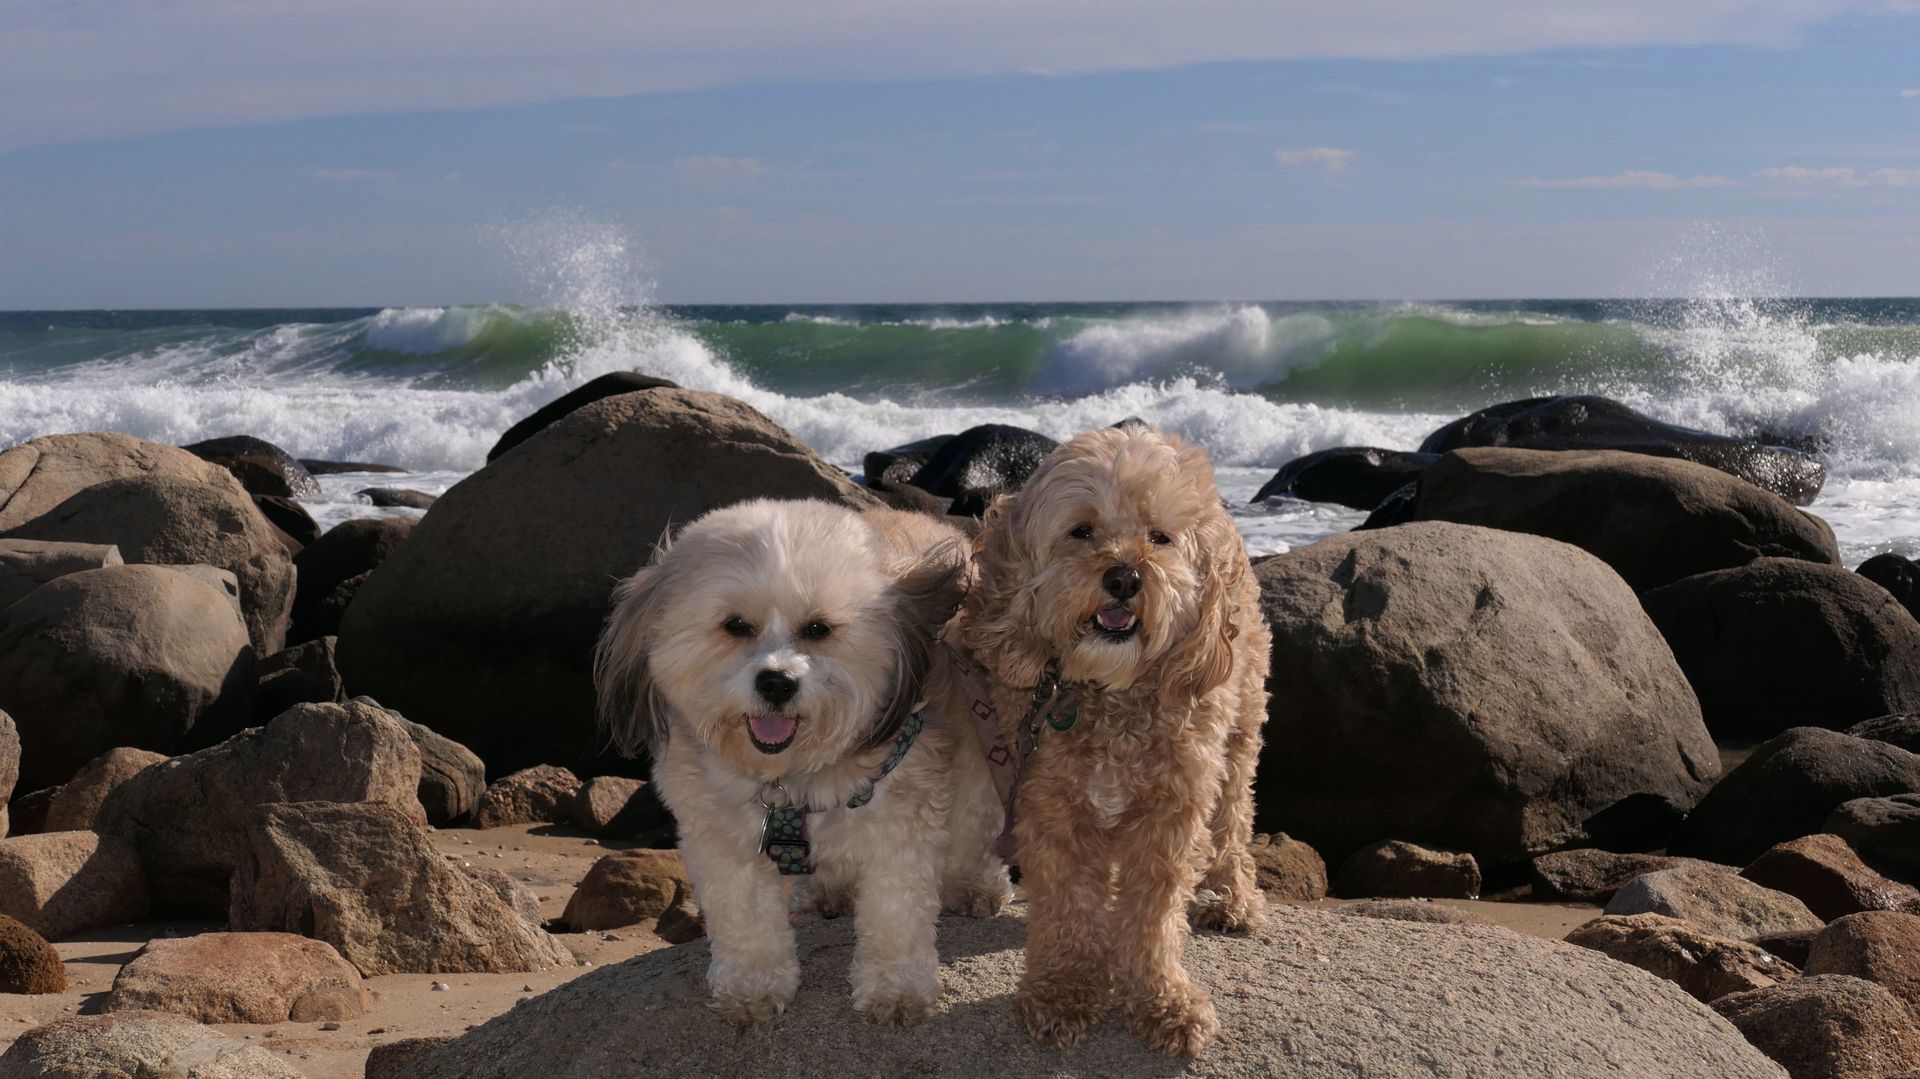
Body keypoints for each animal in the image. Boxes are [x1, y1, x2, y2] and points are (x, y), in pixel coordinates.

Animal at [599, 499, 1013, 1021]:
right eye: (736, 625)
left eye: (818, 628)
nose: (777, 682)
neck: (790, 779)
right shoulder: (720, 836)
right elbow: (744, 918)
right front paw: (752, 988)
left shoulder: (902, 819)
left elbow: (896, 912)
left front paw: (896, 989)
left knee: (971, 825)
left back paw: (972, 883)